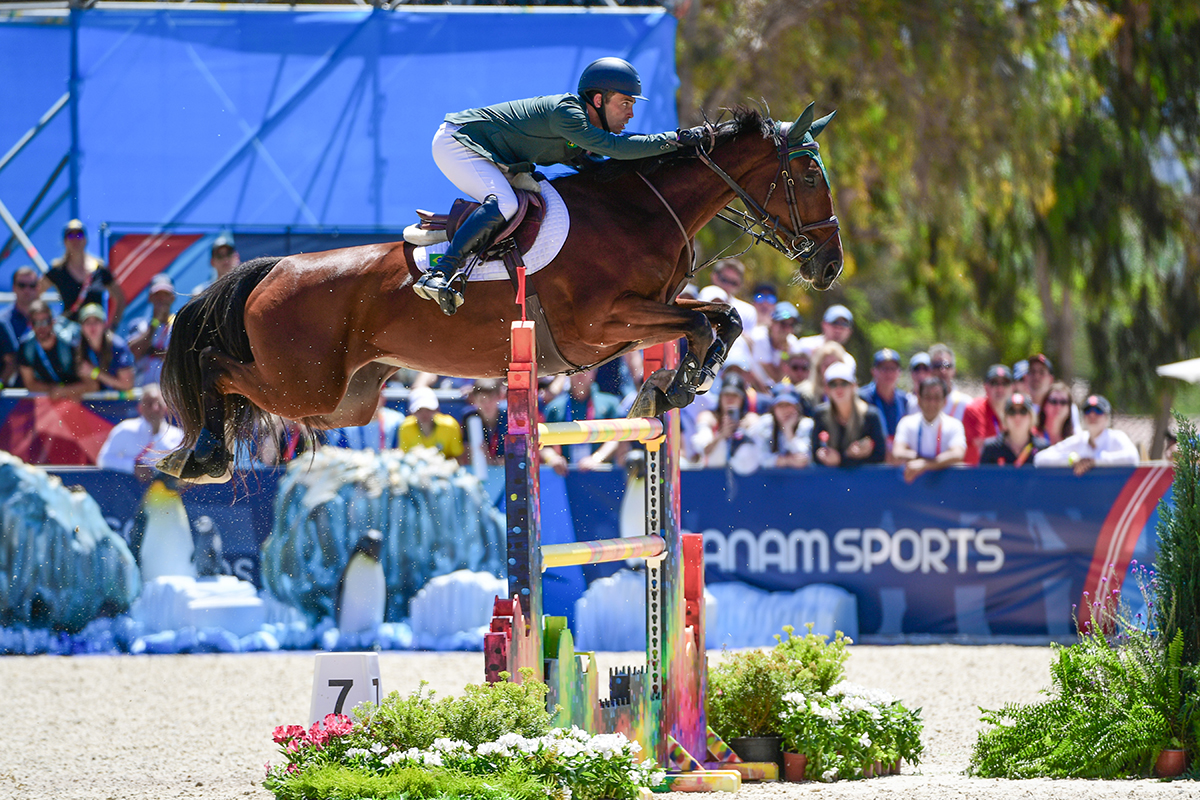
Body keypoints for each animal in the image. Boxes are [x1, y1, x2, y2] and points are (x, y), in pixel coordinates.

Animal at [157, 103, 844, 484]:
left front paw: (673, 386)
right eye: (809, 173)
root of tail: (273, 269)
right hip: (304, 383)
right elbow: (704, 322)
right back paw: (200, 458)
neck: (637, 210)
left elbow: (722, 318)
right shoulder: (603, 324)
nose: (831, 265)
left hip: (344, 402)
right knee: (214, 364)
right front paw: (671, 387)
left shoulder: (640, 316)